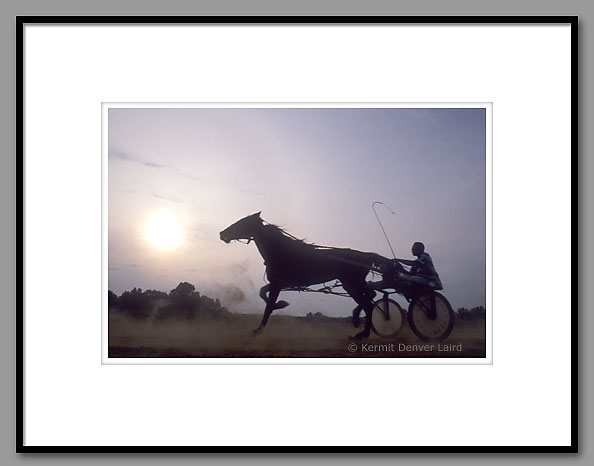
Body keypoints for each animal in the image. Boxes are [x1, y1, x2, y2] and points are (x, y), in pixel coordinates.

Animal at [217, 211, 388, 338]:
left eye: (242, 222)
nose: (222, 233)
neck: (281, 252)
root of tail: (365, 256)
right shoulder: (279, 283)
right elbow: (262, 294)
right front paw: (281, 304)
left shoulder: (278, 284)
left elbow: (268, 306)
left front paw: (258, 329)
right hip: (354, 283)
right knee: (370, 297)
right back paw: (359, 324)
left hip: (351, 283)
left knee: (368, 303)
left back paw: (362, 332)